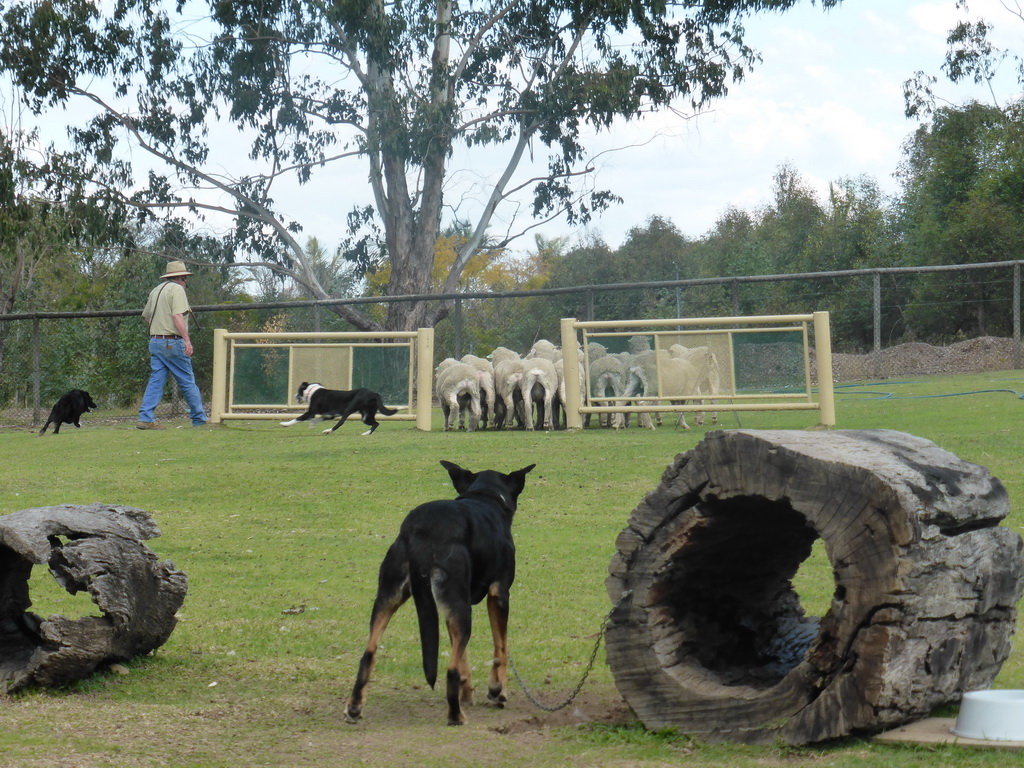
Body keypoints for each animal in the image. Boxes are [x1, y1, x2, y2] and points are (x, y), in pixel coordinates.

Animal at [344, 460, 536, 729]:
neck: (486, 496)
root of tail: (421, 530)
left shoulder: (447, 608)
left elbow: (463, 654)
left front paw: (467, 692)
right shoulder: (499, 593)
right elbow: (501, 648)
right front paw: (498, 691)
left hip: (389, 596)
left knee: (368, 654)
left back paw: (354, 708)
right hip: (461, 607)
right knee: (451, 669)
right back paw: (456, 716)